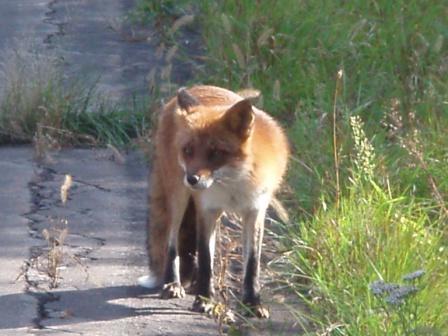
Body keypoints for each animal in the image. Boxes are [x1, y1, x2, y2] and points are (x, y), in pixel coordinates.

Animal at [138, 84, 288, 318]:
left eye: (215, 152)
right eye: (188, 150)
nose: (192, 179)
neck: (233, 183)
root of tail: (195, 87)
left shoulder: (255, 212)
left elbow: (252, 265)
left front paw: (253, 303)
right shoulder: (206, 210)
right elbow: (206, 260)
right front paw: (204, 300)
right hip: (179, 198)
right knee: (171, 243)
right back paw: (173, 284)